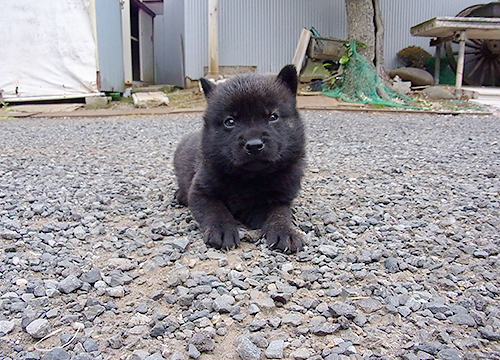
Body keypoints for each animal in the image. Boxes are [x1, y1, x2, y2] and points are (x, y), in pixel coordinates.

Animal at [174, 64, 304, 253]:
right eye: (230, 121)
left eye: (273, 117)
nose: (254, 145)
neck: (250, 178)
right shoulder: (201, 192)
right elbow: (215, 210)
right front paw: (223, 229)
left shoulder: (280, 199)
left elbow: (280, 214)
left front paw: (285, 231)